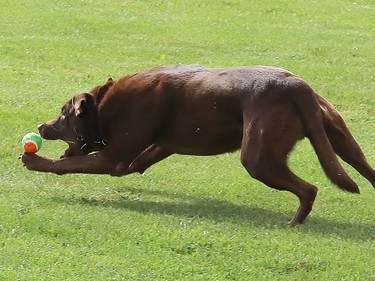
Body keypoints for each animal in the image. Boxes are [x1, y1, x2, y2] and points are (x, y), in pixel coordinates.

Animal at [21, 64, 375, 224]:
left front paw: (36, 161)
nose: (40, 127)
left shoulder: (114, 156)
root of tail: (297, 86)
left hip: (259, 159)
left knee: (309, 189)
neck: (107, 105)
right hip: (340, 139)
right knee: (365, 168)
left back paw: (295, 222)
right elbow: (137, 164)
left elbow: (69, 164)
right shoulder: (161, 145)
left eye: (63, 114)